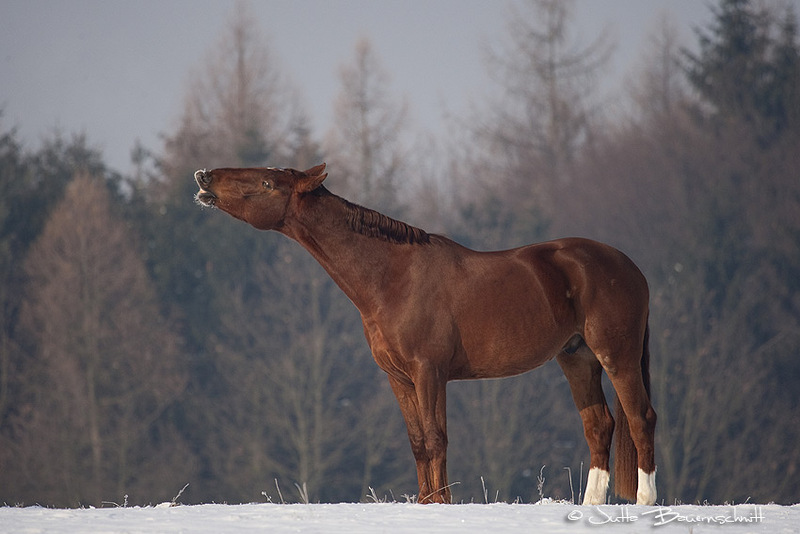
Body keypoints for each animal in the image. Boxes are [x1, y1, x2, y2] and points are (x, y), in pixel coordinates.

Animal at [194, 164, 656, 506]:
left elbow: (436, 439)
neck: (393, 278)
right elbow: (418, 442)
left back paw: (645, 501)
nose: (204, 177)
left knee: (640, 417)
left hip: (617, 355)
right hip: (577, 358)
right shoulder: (398, 377)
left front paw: (442, 505)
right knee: (599, 425)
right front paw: (424, 504)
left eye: (267, 183)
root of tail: (631, 267)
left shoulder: (429, 372)